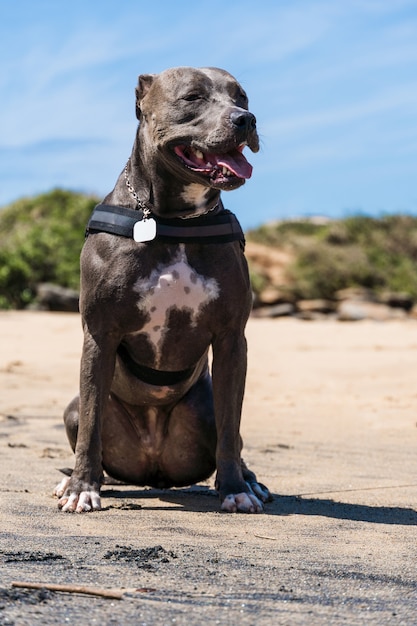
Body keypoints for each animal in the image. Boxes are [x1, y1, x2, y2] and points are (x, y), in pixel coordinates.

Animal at [54, 66, 270, 512]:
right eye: (192, 97)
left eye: (241, 96)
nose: (246, 119)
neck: (175, 220)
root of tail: (155, 466)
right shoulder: (99, 335)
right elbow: (92, 428)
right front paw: (82, 488)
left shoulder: (231, 339)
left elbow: (231, 427)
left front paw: (235, 489)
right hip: (72, 409)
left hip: (203, 411)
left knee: (232, 434)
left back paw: (250, 480)